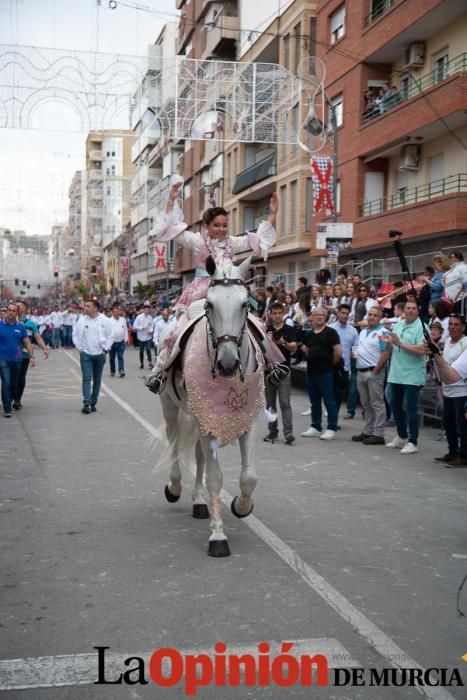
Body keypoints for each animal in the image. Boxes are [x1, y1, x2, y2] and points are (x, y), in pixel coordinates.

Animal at [161, 258, 266, 556]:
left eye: (244, 305)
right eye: (210, 305)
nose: (228, 364)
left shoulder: (249, 420)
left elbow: (248, 476)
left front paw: (241, 507)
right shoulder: (206, 423)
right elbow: (216, 478)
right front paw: (218, 536)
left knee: (198, 457)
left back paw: (198, 501)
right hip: (171, 407)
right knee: (174, 444)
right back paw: (174, 487)